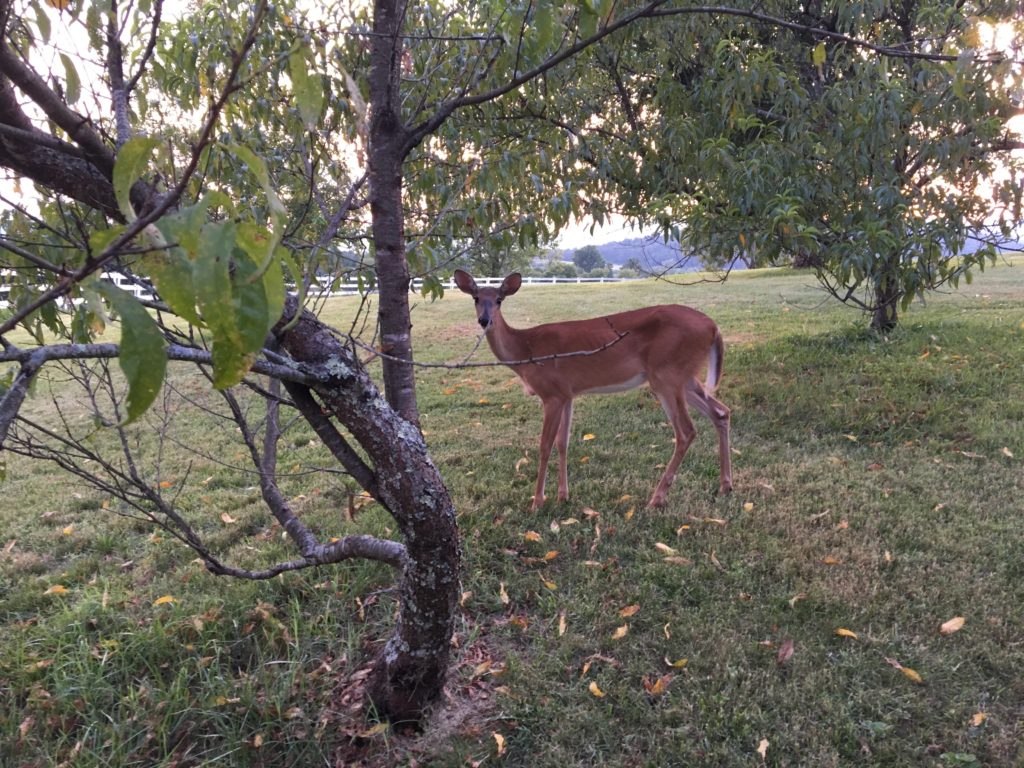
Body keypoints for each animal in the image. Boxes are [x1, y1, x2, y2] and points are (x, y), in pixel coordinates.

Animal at [452, 270, 733, 512]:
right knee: (721, 411)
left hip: (667, 374)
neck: (525, 350)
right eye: (476, 298)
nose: (484, 320)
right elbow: (563, 443)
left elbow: (544, 446)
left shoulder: (551, 394)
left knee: (686, 431)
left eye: (499, 300)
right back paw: (725, 486)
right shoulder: (567, 394)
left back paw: (657, 498)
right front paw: (563, 495)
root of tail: (714, 327)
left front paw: (537, 502)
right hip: (683, 376)